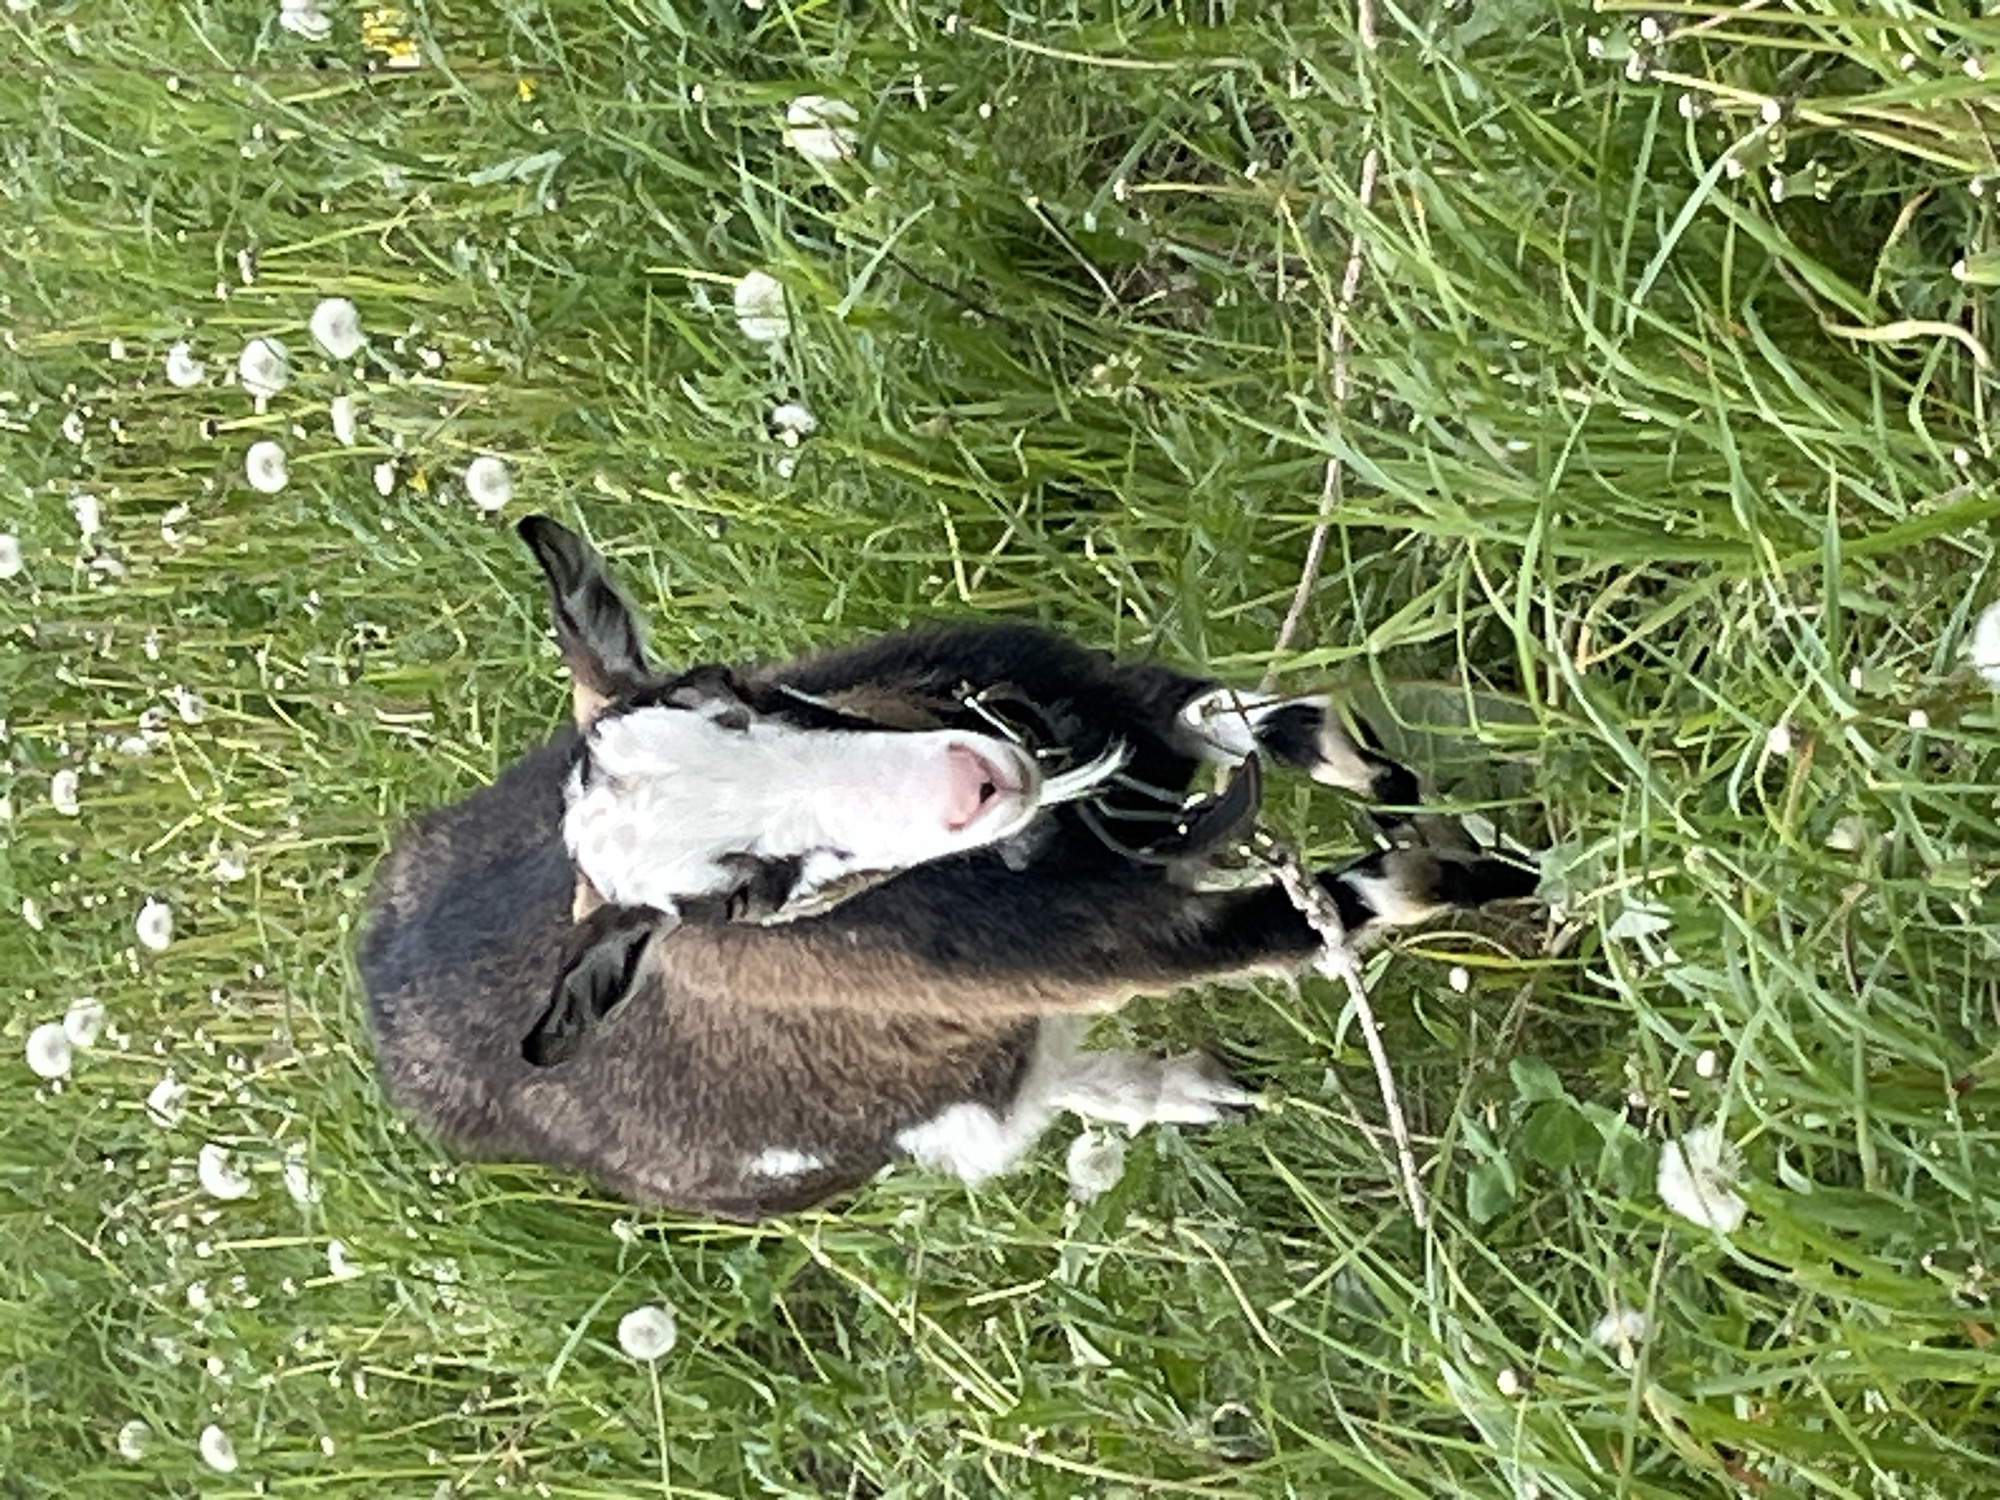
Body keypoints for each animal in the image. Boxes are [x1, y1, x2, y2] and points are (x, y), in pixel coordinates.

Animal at [359, 516, 1535, 1219]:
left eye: (727, 688)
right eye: (741, 897)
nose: (971, 780)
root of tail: (379, 989)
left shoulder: (1133, 710)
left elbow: (1288, 725)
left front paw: (1406, 788)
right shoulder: (1127, 946)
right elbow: (1360, 901)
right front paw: (1521, 885)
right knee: (1031, 1096)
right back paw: (1190, 1095)